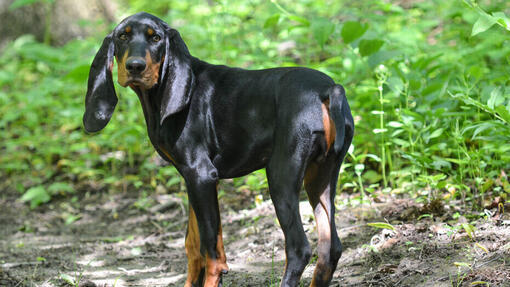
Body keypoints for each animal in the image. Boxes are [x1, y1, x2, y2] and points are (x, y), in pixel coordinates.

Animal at [83, 11, 354, 287]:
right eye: (122, 36)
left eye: (155, 38)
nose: (135, 67)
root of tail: (328, 90)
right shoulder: (196, 180)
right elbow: (195, 244)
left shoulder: (201, 174)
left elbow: (210, 253)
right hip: (321, 178)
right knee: (330, 248)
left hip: (281, 177)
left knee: (299, 248)